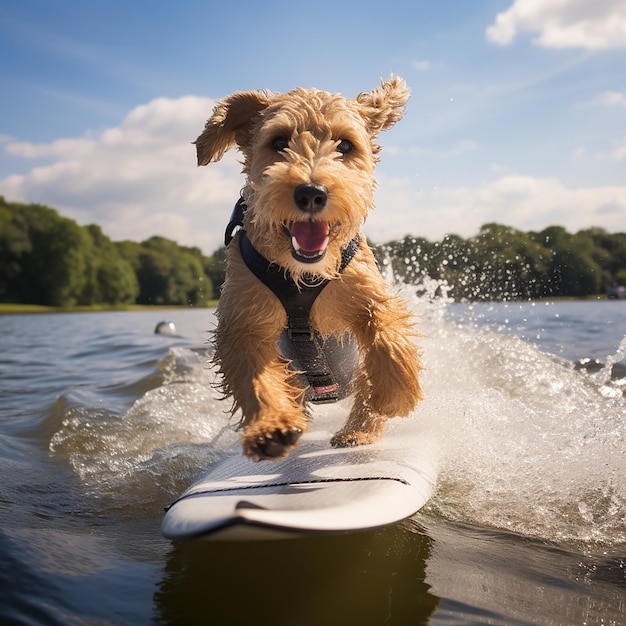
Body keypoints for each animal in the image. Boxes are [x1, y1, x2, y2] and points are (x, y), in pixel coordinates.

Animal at [197, 77, 422, 458]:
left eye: (345, 145)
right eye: (279, 142)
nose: (311, 193)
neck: (301, 276)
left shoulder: (367, 291)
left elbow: (387, 333)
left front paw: (394, 393)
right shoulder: (241, 321)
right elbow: (255, 375)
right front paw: (270, 425)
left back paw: (357, 430)